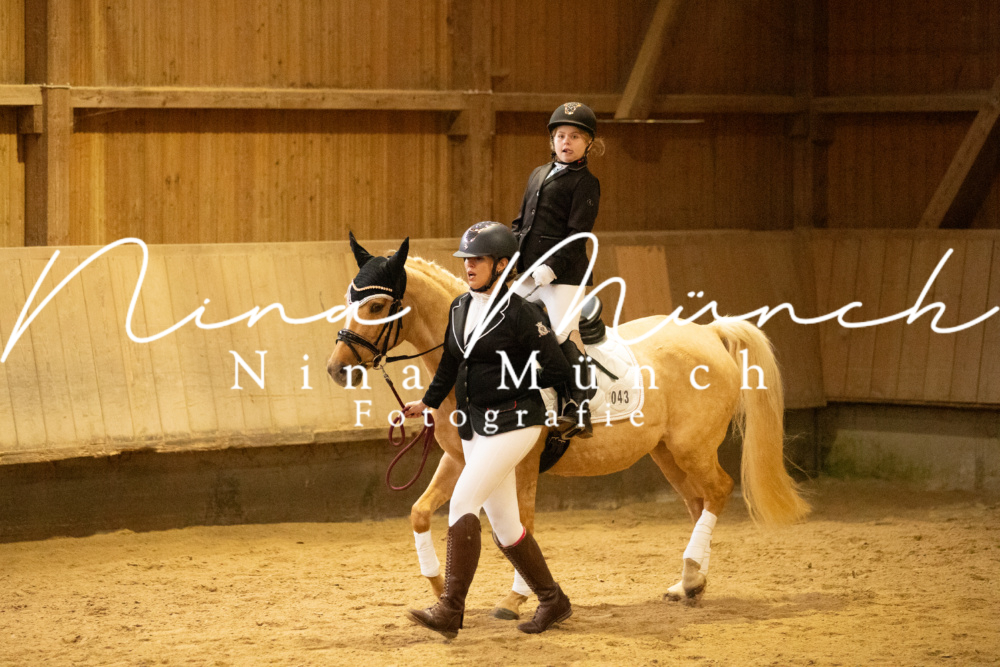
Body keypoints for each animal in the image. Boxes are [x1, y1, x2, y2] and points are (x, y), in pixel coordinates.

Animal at [327, 235, 809, 619]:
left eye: (376, 305)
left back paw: (691, 575)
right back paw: (690, 583)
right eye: (350, 302)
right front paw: (437, 584)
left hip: (693, 447)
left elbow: (522, 525)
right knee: (698, 501)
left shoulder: (519, 464)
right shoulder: (458, 459)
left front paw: (516, 599)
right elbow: (421, 512)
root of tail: (709, 333)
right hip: (666, 452)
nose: (336, 370)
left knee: (719, 491)